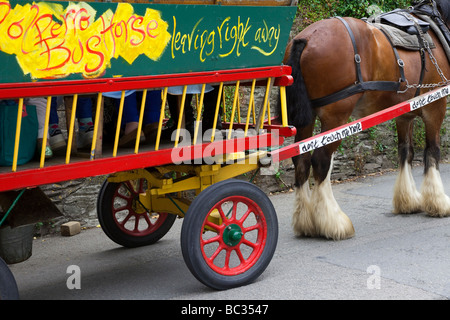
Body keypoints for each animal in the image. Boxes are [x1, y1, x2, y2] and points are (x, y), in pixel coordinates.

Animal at [284, 0, 450, 240]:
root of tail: (306, 37)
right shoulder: (435, 105)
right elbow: (432, 151)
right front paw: (438, 203)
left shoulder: (404, 114)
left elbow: (406, 152)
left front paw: (407, 200)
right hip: (336, 117)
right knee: (321, 161)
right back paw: (333, 222)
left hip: (306, 119)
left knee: (301, 160)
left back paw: (305, 222)